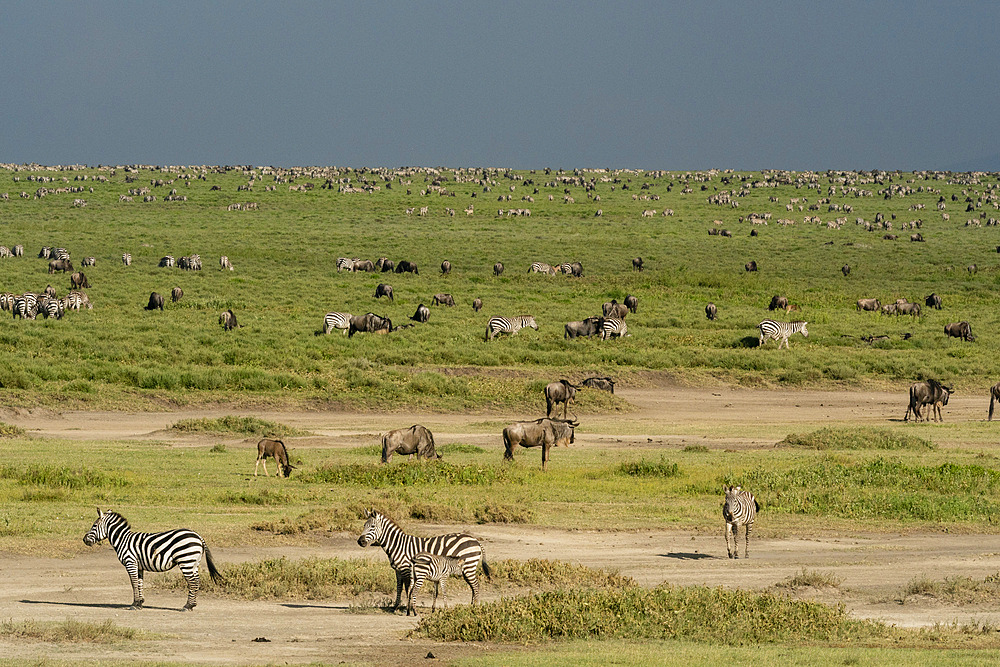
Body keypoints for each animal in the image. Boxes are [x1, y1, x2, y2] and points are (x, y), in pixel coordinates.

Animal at [81, 512, 223, 612]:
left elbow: (133, 583)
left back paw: (187, 606)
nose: (84, 540)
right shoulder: (139, 566)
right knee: (197, 582)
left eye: (94, 525)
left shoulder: (130, 562)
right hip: (194, 563)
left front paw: (134, 604)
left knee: (192, 583)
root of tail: (198, 536)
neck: (122, 540)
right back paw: (192, 605)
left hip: (186, 561)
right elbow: (139, 583)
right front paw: (140, 603)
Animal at [358, 512, 490, 616]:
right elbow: (399, 588)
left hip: (468, 567)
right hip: (466, 568)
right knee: (473, 586)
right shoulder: (398, 570)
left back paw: (475, 608)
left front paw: (408, 608)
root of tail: (475, 540)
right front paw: (395, 607)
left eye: (372, 526)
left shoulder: (406, 569)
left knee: (476, 585)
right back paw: (472, 606)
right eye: (364, 525)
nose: (360, 542)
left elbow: (408, 589)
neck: (398, 545)